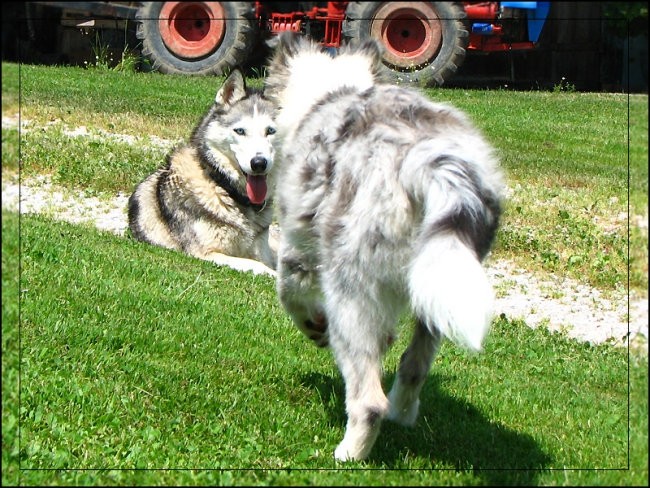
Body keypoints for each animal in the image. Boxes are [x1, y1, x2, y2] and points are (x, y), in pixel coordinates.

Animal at [128, 69, 278, 276]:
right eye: (240, 131)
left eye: (270, 131)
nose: (258, 163)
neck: (223, 188)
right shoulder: (206, 253)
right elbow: (257, 266)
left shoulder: (263, 251)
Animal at [262, 34, 502, 462]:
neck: (329, 93)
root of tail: (424, 158)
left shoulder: (296, 251)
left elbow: (288, 295)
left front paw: (314, 328)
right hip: (439, 278)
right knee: (413, 365)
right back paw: (402, 414)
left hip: (348, 288)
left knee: (368, 398)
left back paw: (348, 452)